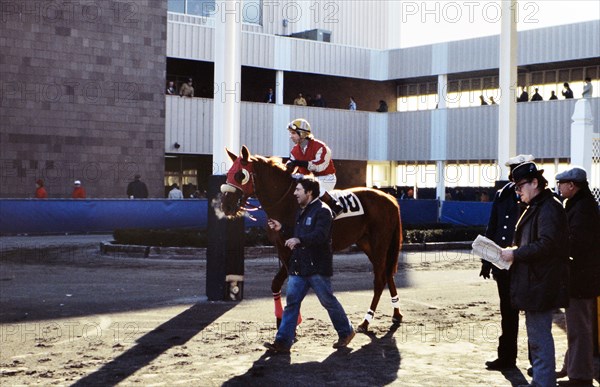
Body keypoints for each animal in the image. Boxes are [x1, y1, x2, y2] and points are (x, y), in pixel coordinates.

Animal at [220, 146, 404, 334]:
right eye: (228, 173)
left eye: (240, 175)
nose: (226, 205)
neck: (287, 201)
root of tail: (390, 199)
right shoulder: (282, 248)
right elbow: (276, 284)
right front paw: (282, 320)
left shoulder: (293, 248)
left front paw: (293, 321)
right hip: (368, 244)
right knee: (387, 274)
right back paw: (396, 314)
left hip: (379, 244)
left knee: (380, 279)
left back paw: (366, 321)